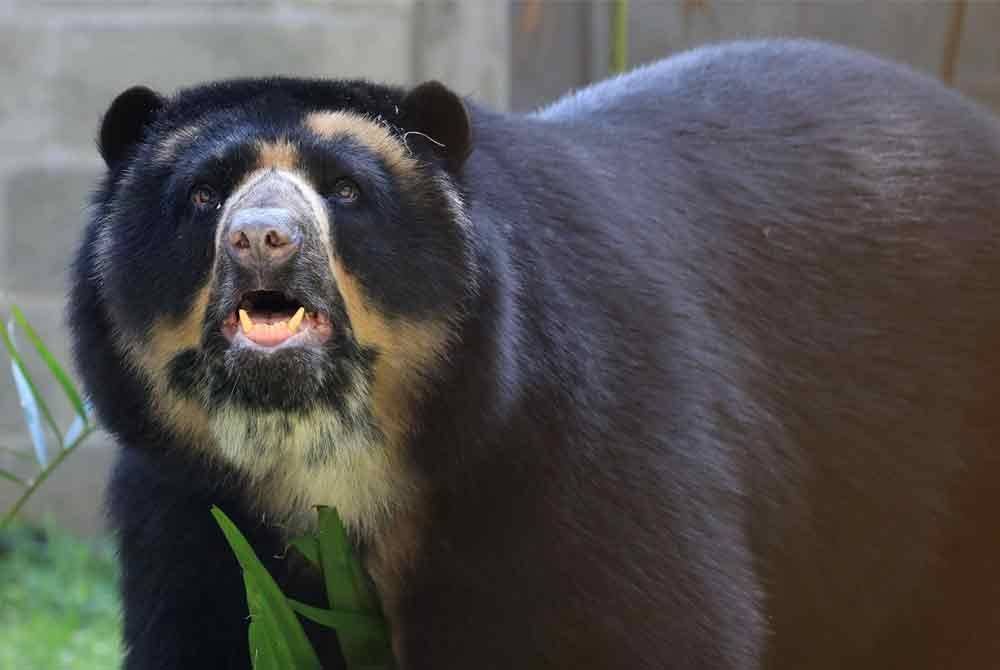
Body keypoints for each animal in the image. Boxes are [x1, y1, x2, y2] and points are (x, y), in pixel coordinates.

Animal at [66, 42, 1000, 670]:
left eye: (346, 190)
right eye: (202, 194)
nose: (262, 238)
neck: (332, 455)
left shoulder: (580, 446)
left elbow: (645, 625)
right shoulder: (189, 501)